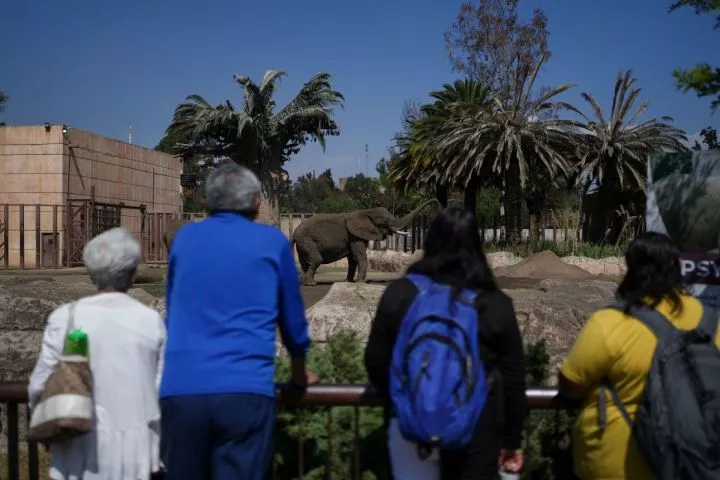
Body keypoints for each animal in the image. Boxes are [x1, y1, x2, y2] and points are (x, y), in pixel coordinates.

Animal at [292, 198, 438, 284]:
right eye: (385, 222)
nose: (436, 201)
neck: (366, 211)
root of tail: (294, 232)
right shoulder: (355, 234)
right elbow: (359, 255)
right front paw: (360, 283)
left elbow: (352, 258)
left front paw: (348, 282)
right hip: (307, 241)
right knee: (316, 260)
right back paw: (311, 283)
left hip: (303, 243)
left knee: (304, 261)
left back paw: (303, 282)